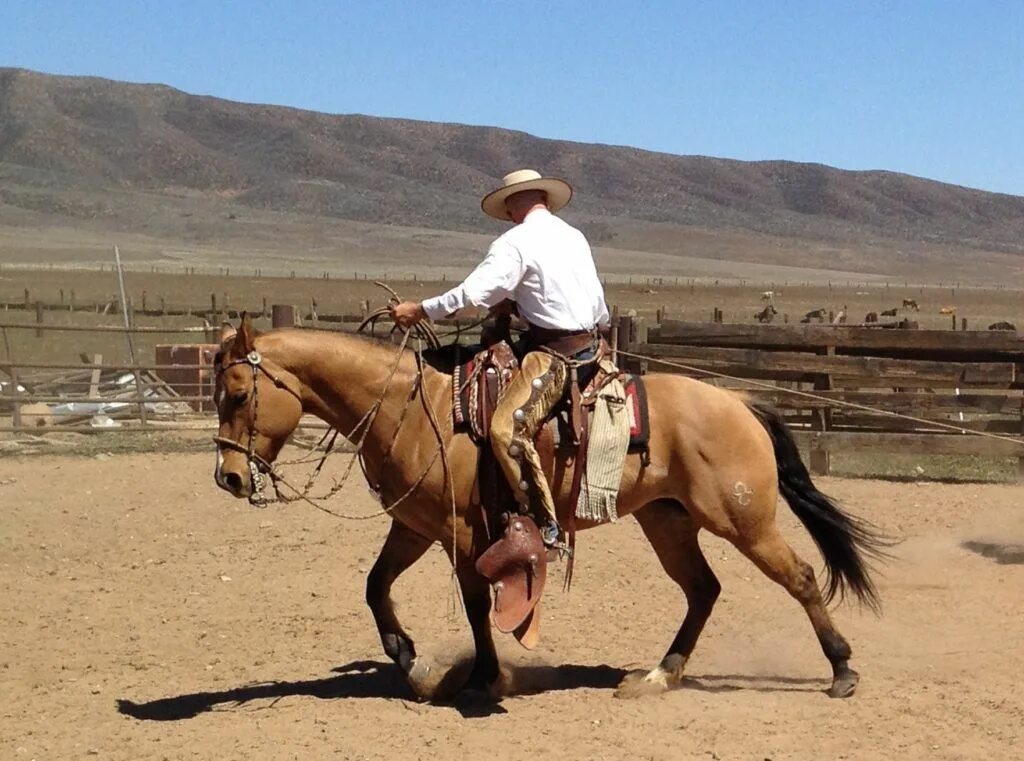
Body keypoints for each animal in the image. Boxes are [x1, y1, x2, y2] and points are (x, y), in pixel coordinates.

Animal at [211, 313, 884, 700]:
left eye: (239, 394)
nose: (229, 477)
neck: (414, 406)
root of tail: (741, 403)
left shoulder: (461, 531)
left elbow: (477, 605)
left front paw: (482, 678)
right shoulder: (416, 525)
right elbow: (376, 586)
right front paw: (408, 659)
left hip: (742, 519)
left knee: (799, 576)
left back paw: (843, 672)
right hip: (668, 520)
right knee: (703, 590)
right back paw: (659, 675)